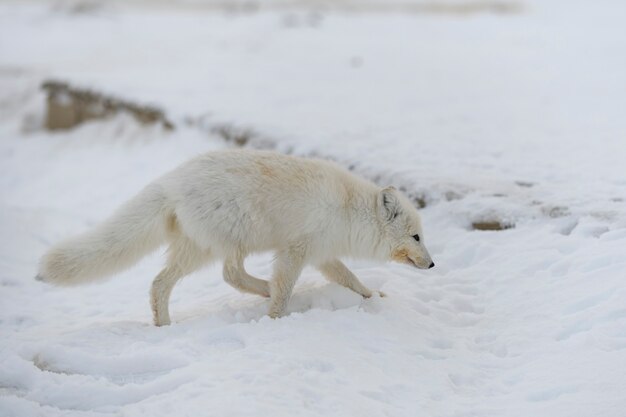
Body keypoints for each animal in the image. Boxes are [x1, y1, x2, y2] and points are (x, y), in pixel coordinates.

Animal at [36, 150, 432, 324]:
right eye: (416, 236)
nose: (431, 264)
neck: (349, 209)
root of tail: (171, 181)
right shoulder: (296, 250)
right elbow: (286, 285)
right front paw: (276, 317)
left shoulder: (321, 254)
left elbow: (349, 278)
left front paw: (372, 295)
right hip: (230, 240)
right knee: (231, 275)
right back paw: (264, 292)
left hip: (196, 248)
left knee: (160, 282)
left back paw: (163, 326)